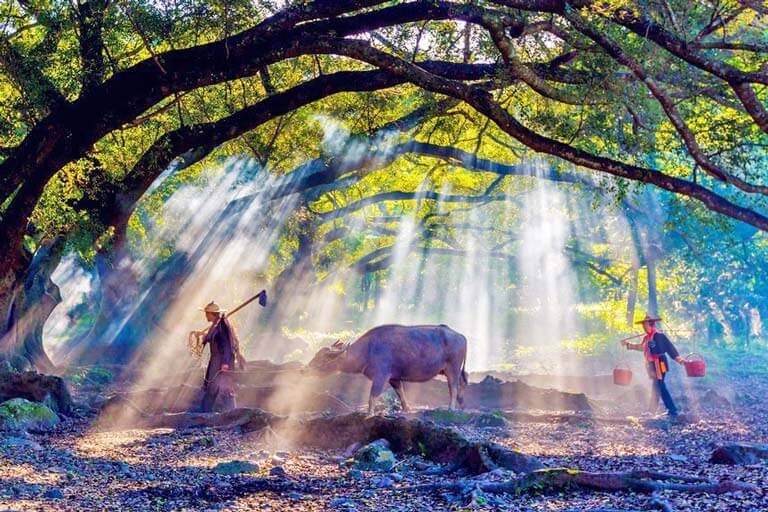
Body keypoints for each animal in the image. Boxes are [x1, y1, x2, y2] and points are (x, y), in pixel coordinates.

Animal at [306, 324, 468, 416]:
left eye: (324, 358)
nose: (304, 370)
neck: (368, 349)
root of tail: (461, 336)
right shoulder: (394, 378)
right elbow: (400, 392)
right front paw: (406, 409)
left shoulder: (381, 376)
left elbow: (372, 396)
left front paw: (369, 413)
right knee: (462, 383)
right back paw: (461, 404)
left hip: (452, 368)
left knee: (453, 387)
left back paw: (451, 408)